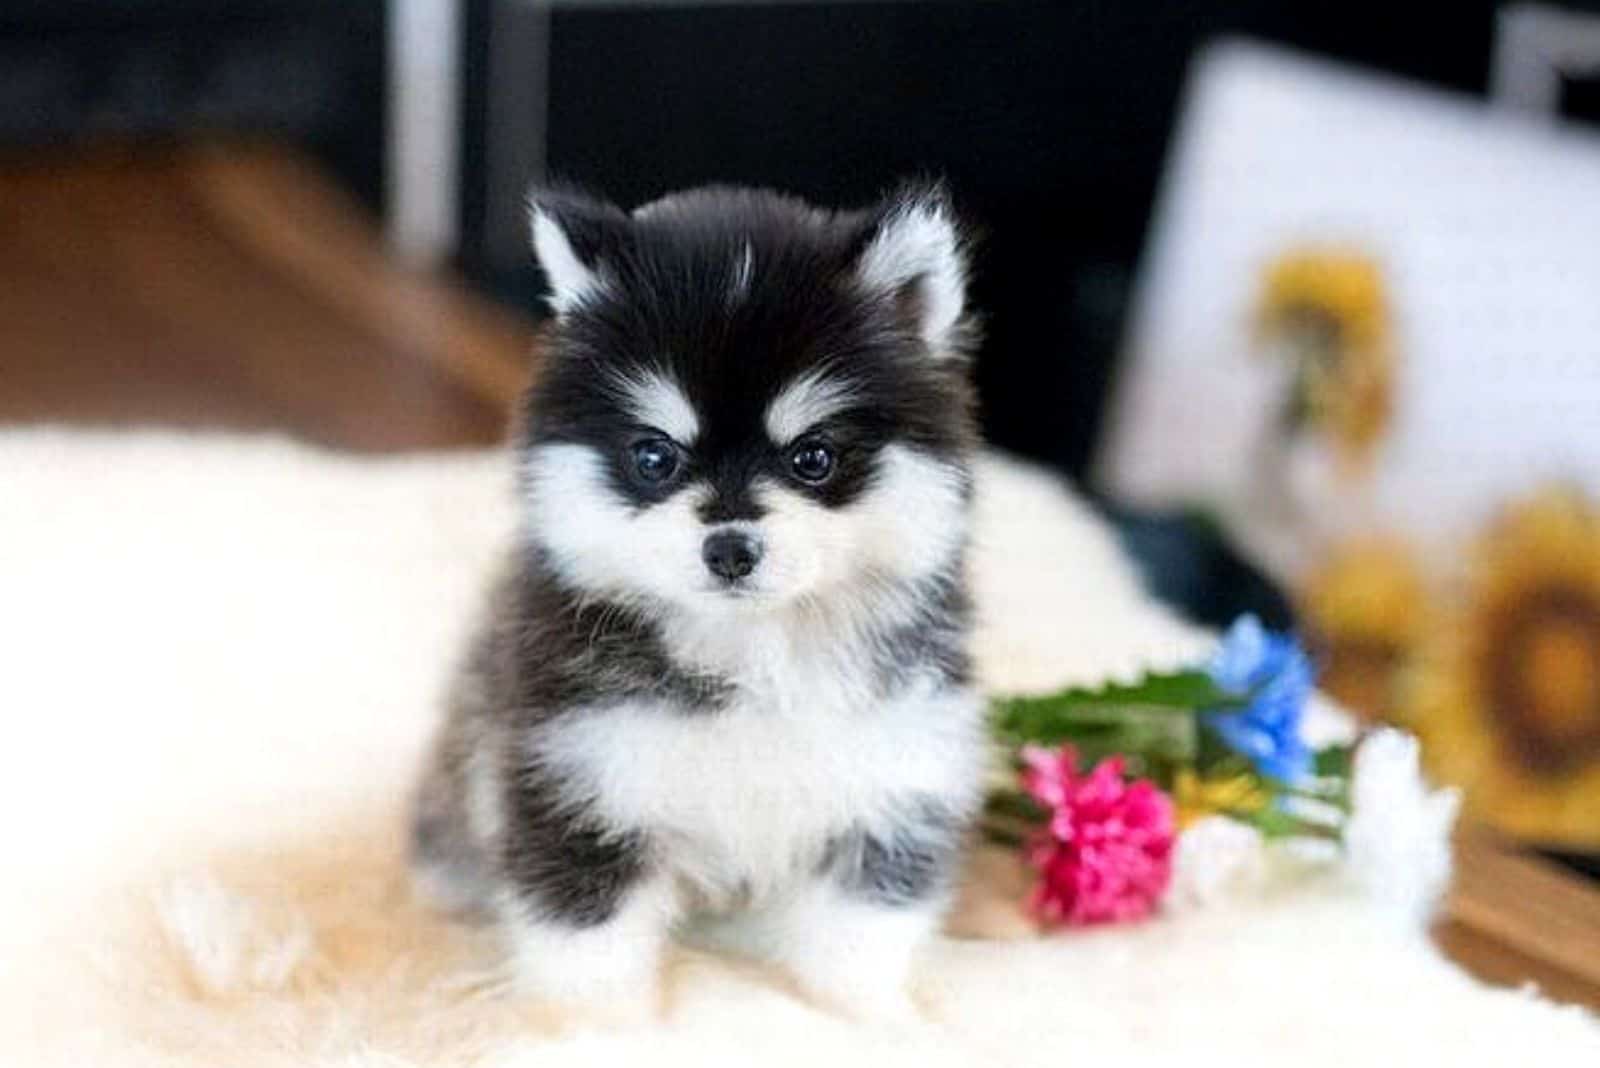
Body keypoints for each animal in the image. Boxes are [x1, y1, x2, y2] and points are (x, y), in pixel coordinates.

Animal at [409, 183, 985, 1016]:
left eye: (813, 458)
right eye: (655, 457)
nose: (730, 548)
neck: (750, 650)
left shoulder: (895, 776)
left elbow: (857, 932)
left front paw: (862, 1015)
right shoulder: (577, 778)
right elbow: (587, 939)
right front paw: (595, 1026)